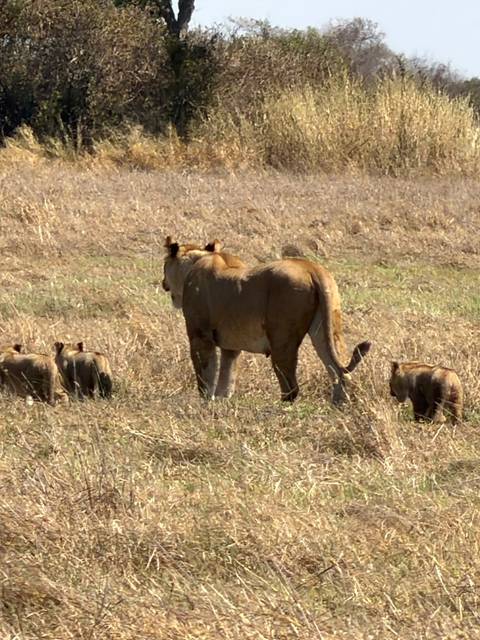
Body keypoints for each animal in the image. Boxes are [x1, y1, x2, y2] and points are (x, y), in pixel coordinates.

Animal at [162, 237, 371, 404]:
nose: (163, 283)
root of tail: (312, 269)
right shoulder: (231, 346)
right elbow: (227, 378)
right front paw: (221, 402)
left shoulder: (200, 335)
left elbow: (206, 375)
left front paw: (205, 402)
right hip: (327, 328)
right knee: (338, 370)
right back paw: (338, 404)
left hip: (282, 337)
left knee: (291, 387)